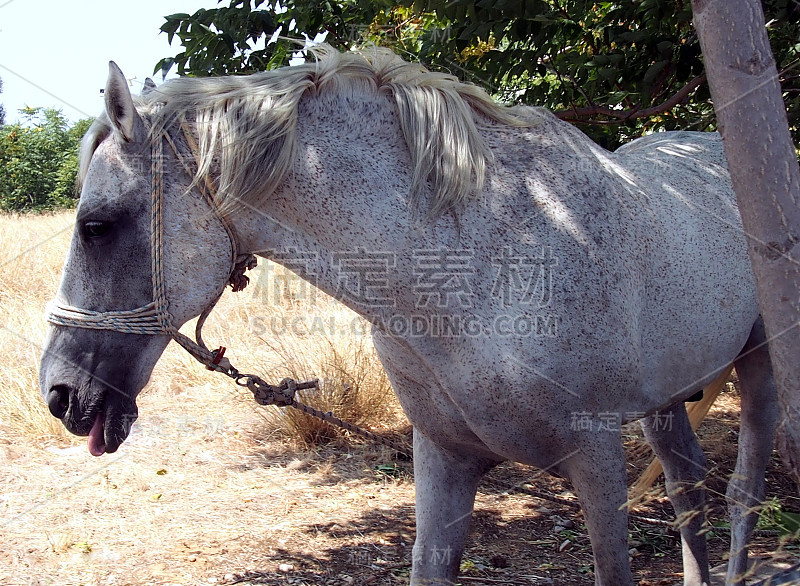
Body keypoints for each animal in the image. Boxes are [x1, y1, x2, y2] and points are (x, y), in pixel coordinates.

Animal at [37, 48, 776, 580]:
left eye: (96, 225)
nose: (59, 392)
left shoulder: (596, 460)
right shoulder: (444, 458)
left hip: (757, 363)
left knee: (742, 491)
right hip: (667, 399)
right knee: (687, 486)